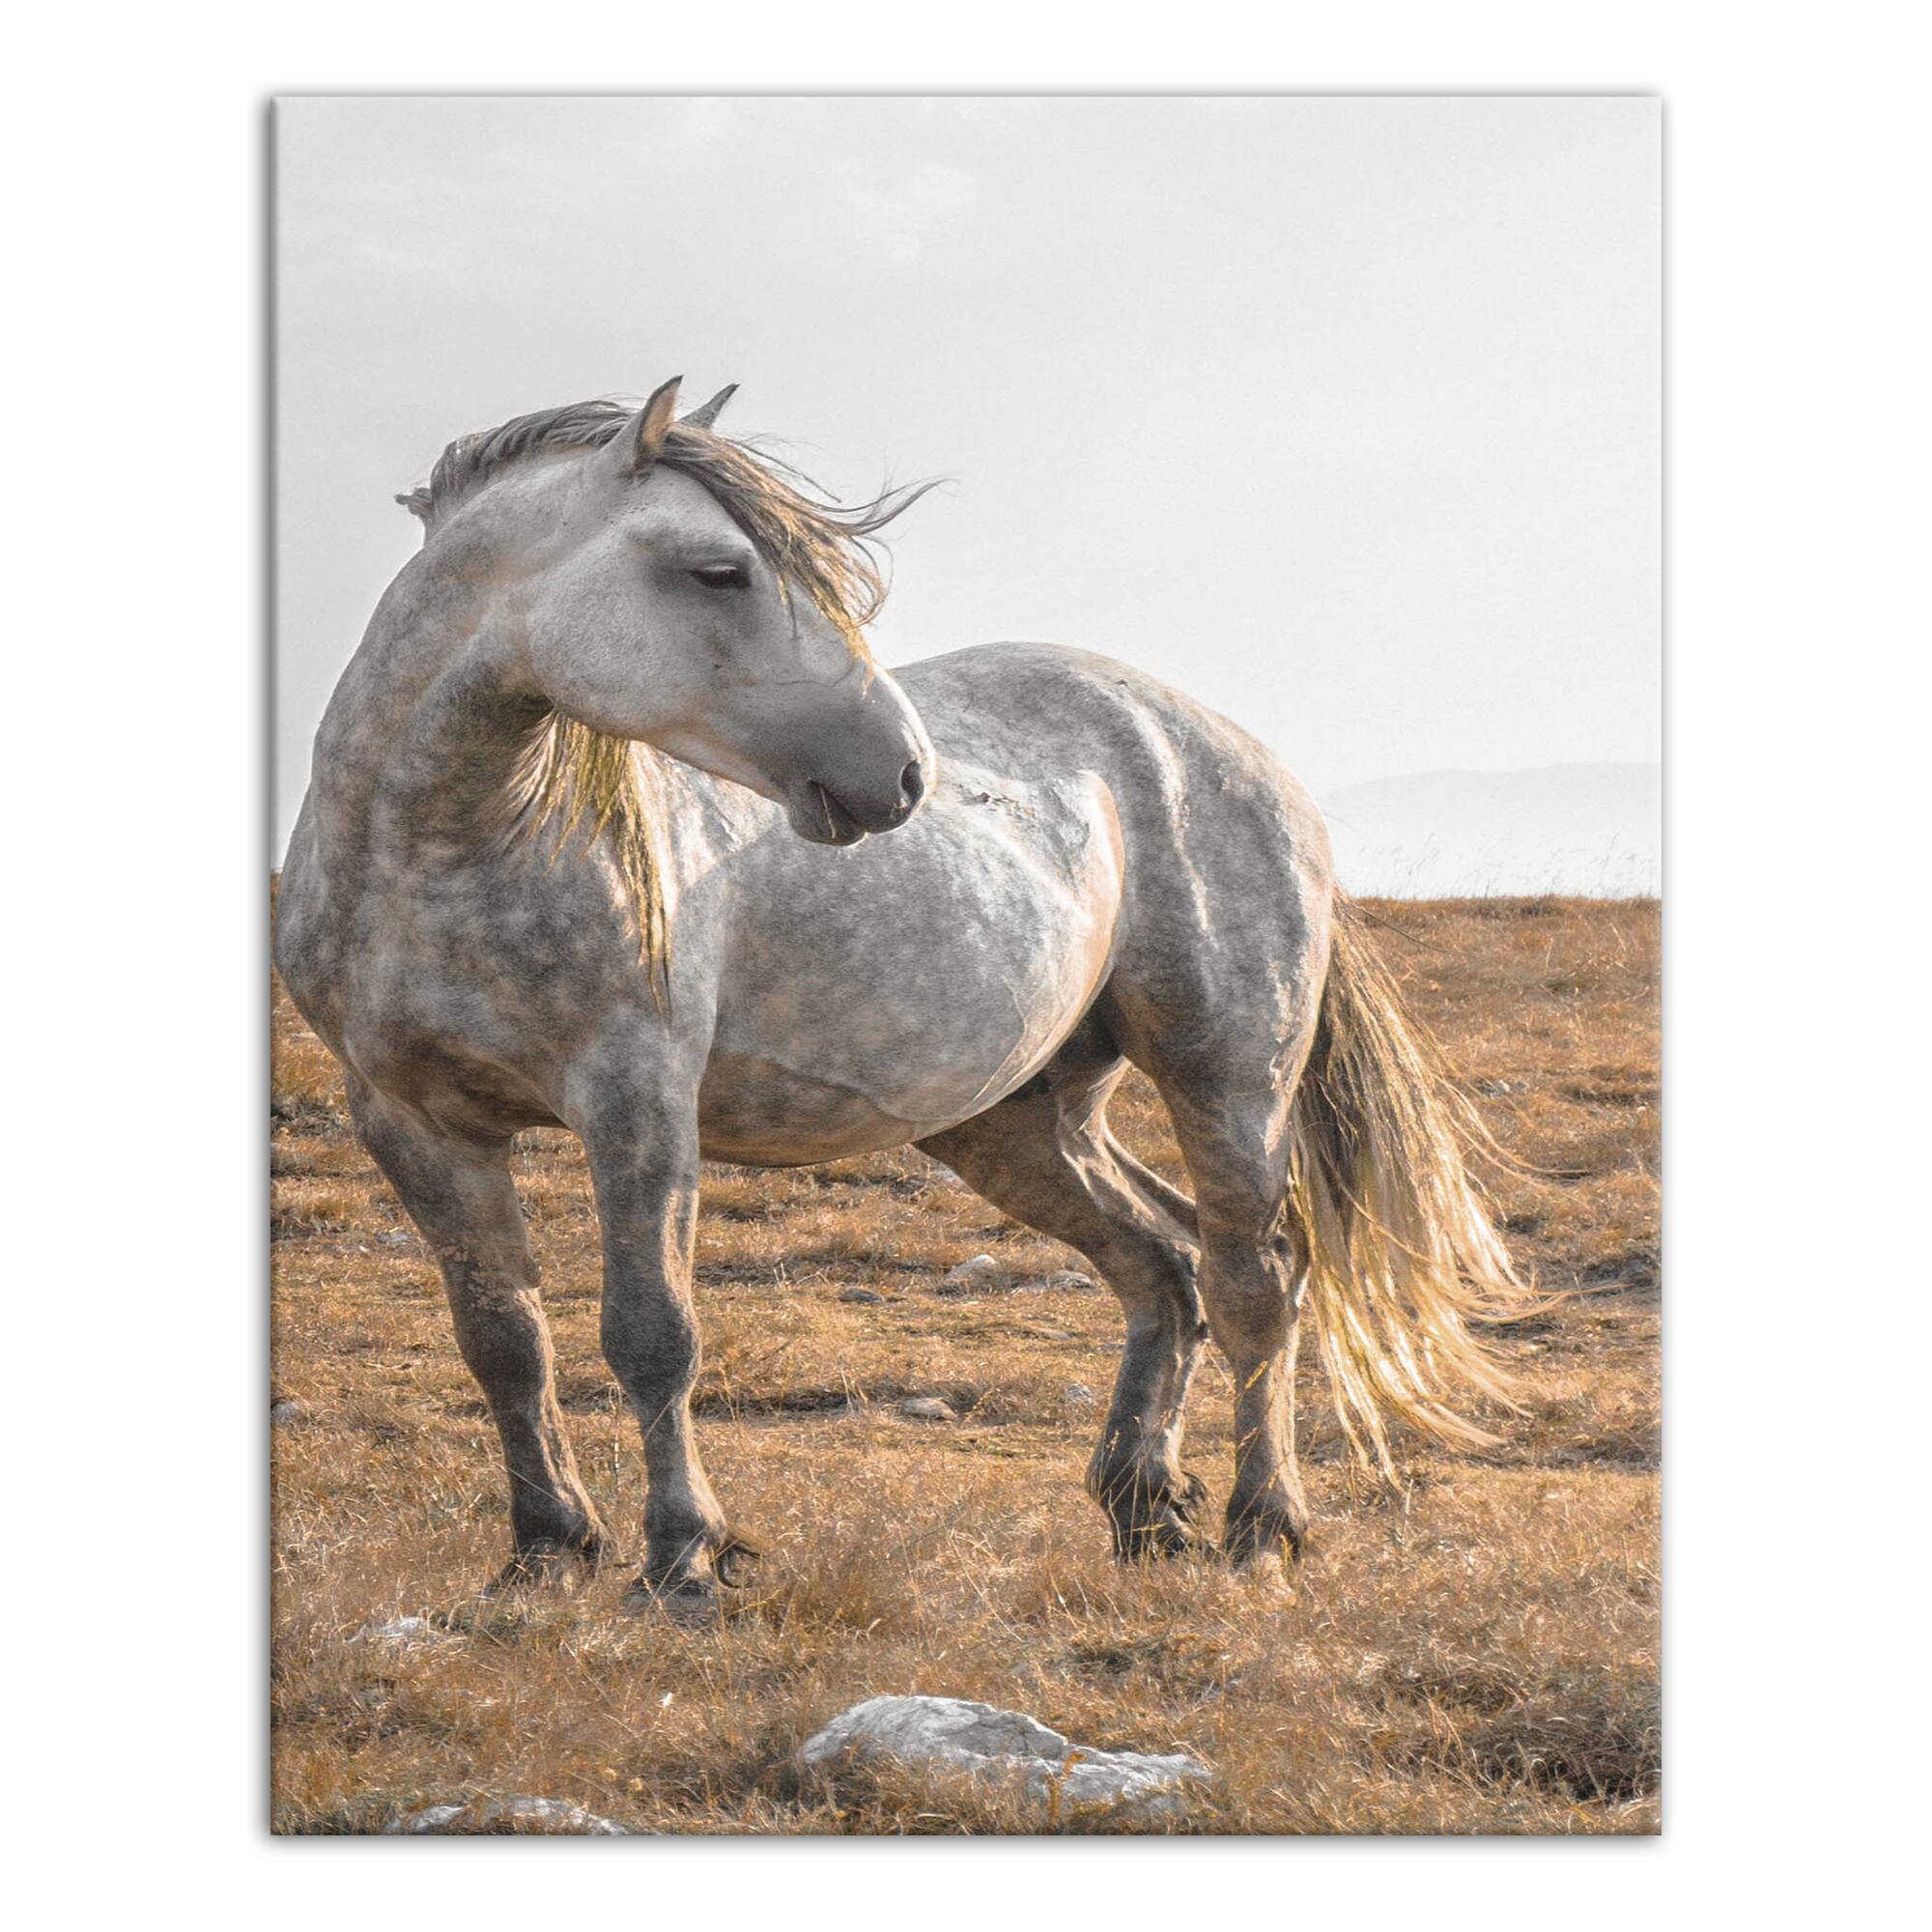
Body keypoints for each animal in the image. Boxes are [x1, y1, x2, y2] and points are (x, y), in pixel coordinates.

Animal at [275, 376, 1529, 1616]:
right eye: (718, 570)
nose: (903, 773)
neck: (446, 854)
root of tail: (1233, 749)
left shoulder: (636, 1099)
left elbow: (650, 1335)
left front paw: (683, 1558)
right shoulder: (410, 1119)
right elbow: (503, 1340)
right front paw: (543, 1551)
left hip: (1225, 1076)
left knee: (1250, 1279)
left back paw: (1260, 1526)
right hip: (1015, 1121)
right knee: (1160, 1265)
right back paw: (1141, 1507)